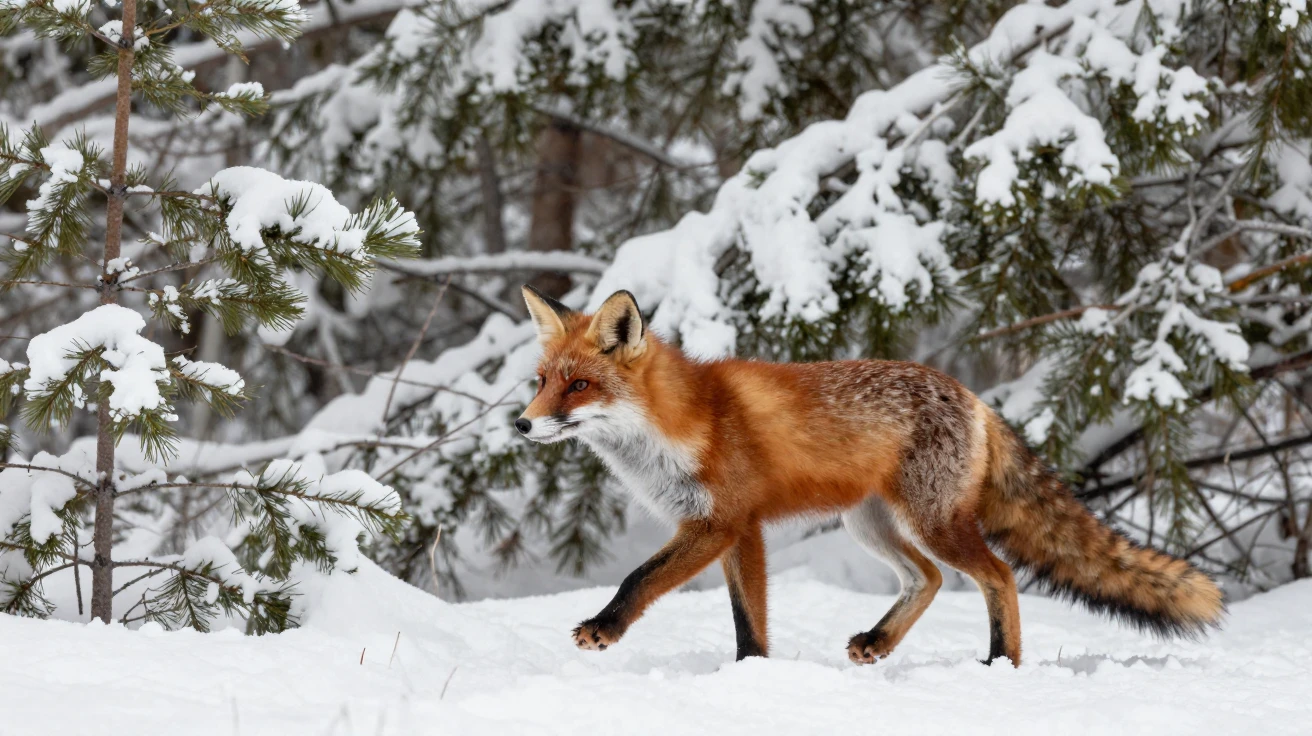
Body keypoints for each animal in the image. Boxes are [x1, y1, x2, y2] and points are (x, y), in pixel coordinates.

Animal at [514, 285, 1225, 666]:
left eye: (579, 386)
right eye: (540, 382)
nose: (521, 426)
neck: (680, 425)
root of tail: (975, 398)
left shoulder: (720, 523)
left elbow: (640, 578)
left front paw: (604, 628)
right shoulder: (738, 529)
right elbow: (750, 620)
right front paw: (751, 675)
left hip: (931, 523)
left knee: (996, 576)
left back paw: (1001, 663)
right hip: (871, 525)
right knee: (929, 579)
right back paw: (880, 642)